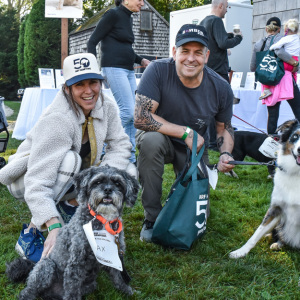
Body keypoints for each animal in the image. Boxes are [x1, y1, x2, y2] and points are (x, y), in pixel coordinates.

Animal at [5, 165, 139, 298]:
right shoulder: (76, 262)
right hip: (47, 266)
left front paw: (126, 290)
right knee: (28, 291)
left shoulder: (114, 256)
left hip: (90, 285)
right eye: (97, 182)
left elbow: (117, 276)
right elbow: (72, 288)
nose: (107, 190)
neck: (103, 221)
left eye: (117, 183)